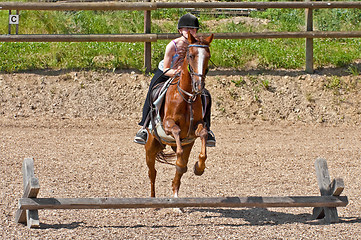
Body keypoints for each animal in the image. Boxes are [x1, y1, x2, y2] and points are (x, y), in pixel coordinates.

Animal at [143, 32, 212, 199]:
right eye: (191, 55)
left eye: (208, 56)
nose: (199, 86)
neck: (187, 97)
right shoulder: (167, 124)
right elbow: (175, 130)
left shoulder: (196, 128)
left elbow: (203, 134)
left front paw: (199, 168)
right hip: (151, 146)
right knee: (152, 172)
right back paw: (153, 199)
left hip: (184, 144)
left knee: (180, 167)